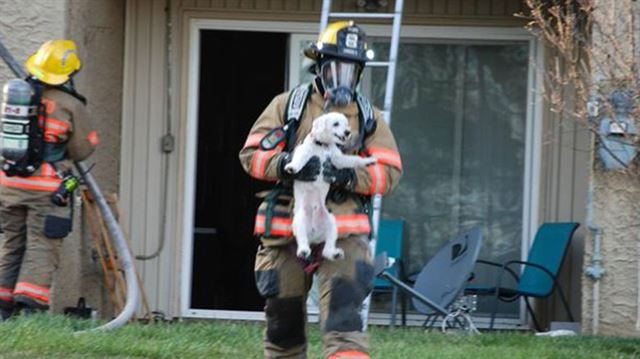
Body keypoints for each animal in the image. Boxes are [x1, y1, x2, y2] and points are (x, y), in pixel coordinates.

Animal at [0, 40, 98, 320]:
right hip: (48, 209)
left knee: (12, 248)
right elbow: (82, 144)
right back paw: (30, 307)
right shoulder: (75, 110)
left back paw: (6, 308)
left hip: (11, 206)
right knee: (43, 247)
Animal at [284, 112, 376, 262]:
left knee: (328, 246)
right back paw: (303, 251)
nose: (347, 132)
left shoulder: (337, 159)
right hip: (300, 220)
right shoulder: (305, 151)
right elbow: (299, 159)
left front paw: (368, 160)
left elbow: (352, 160)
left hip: (331, 222)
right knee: (302, 239)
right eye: (336, 124)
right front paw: (291, 167)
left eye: (346, 124)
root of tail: (314, 236)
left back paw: (335, 253)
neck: (323, 146)